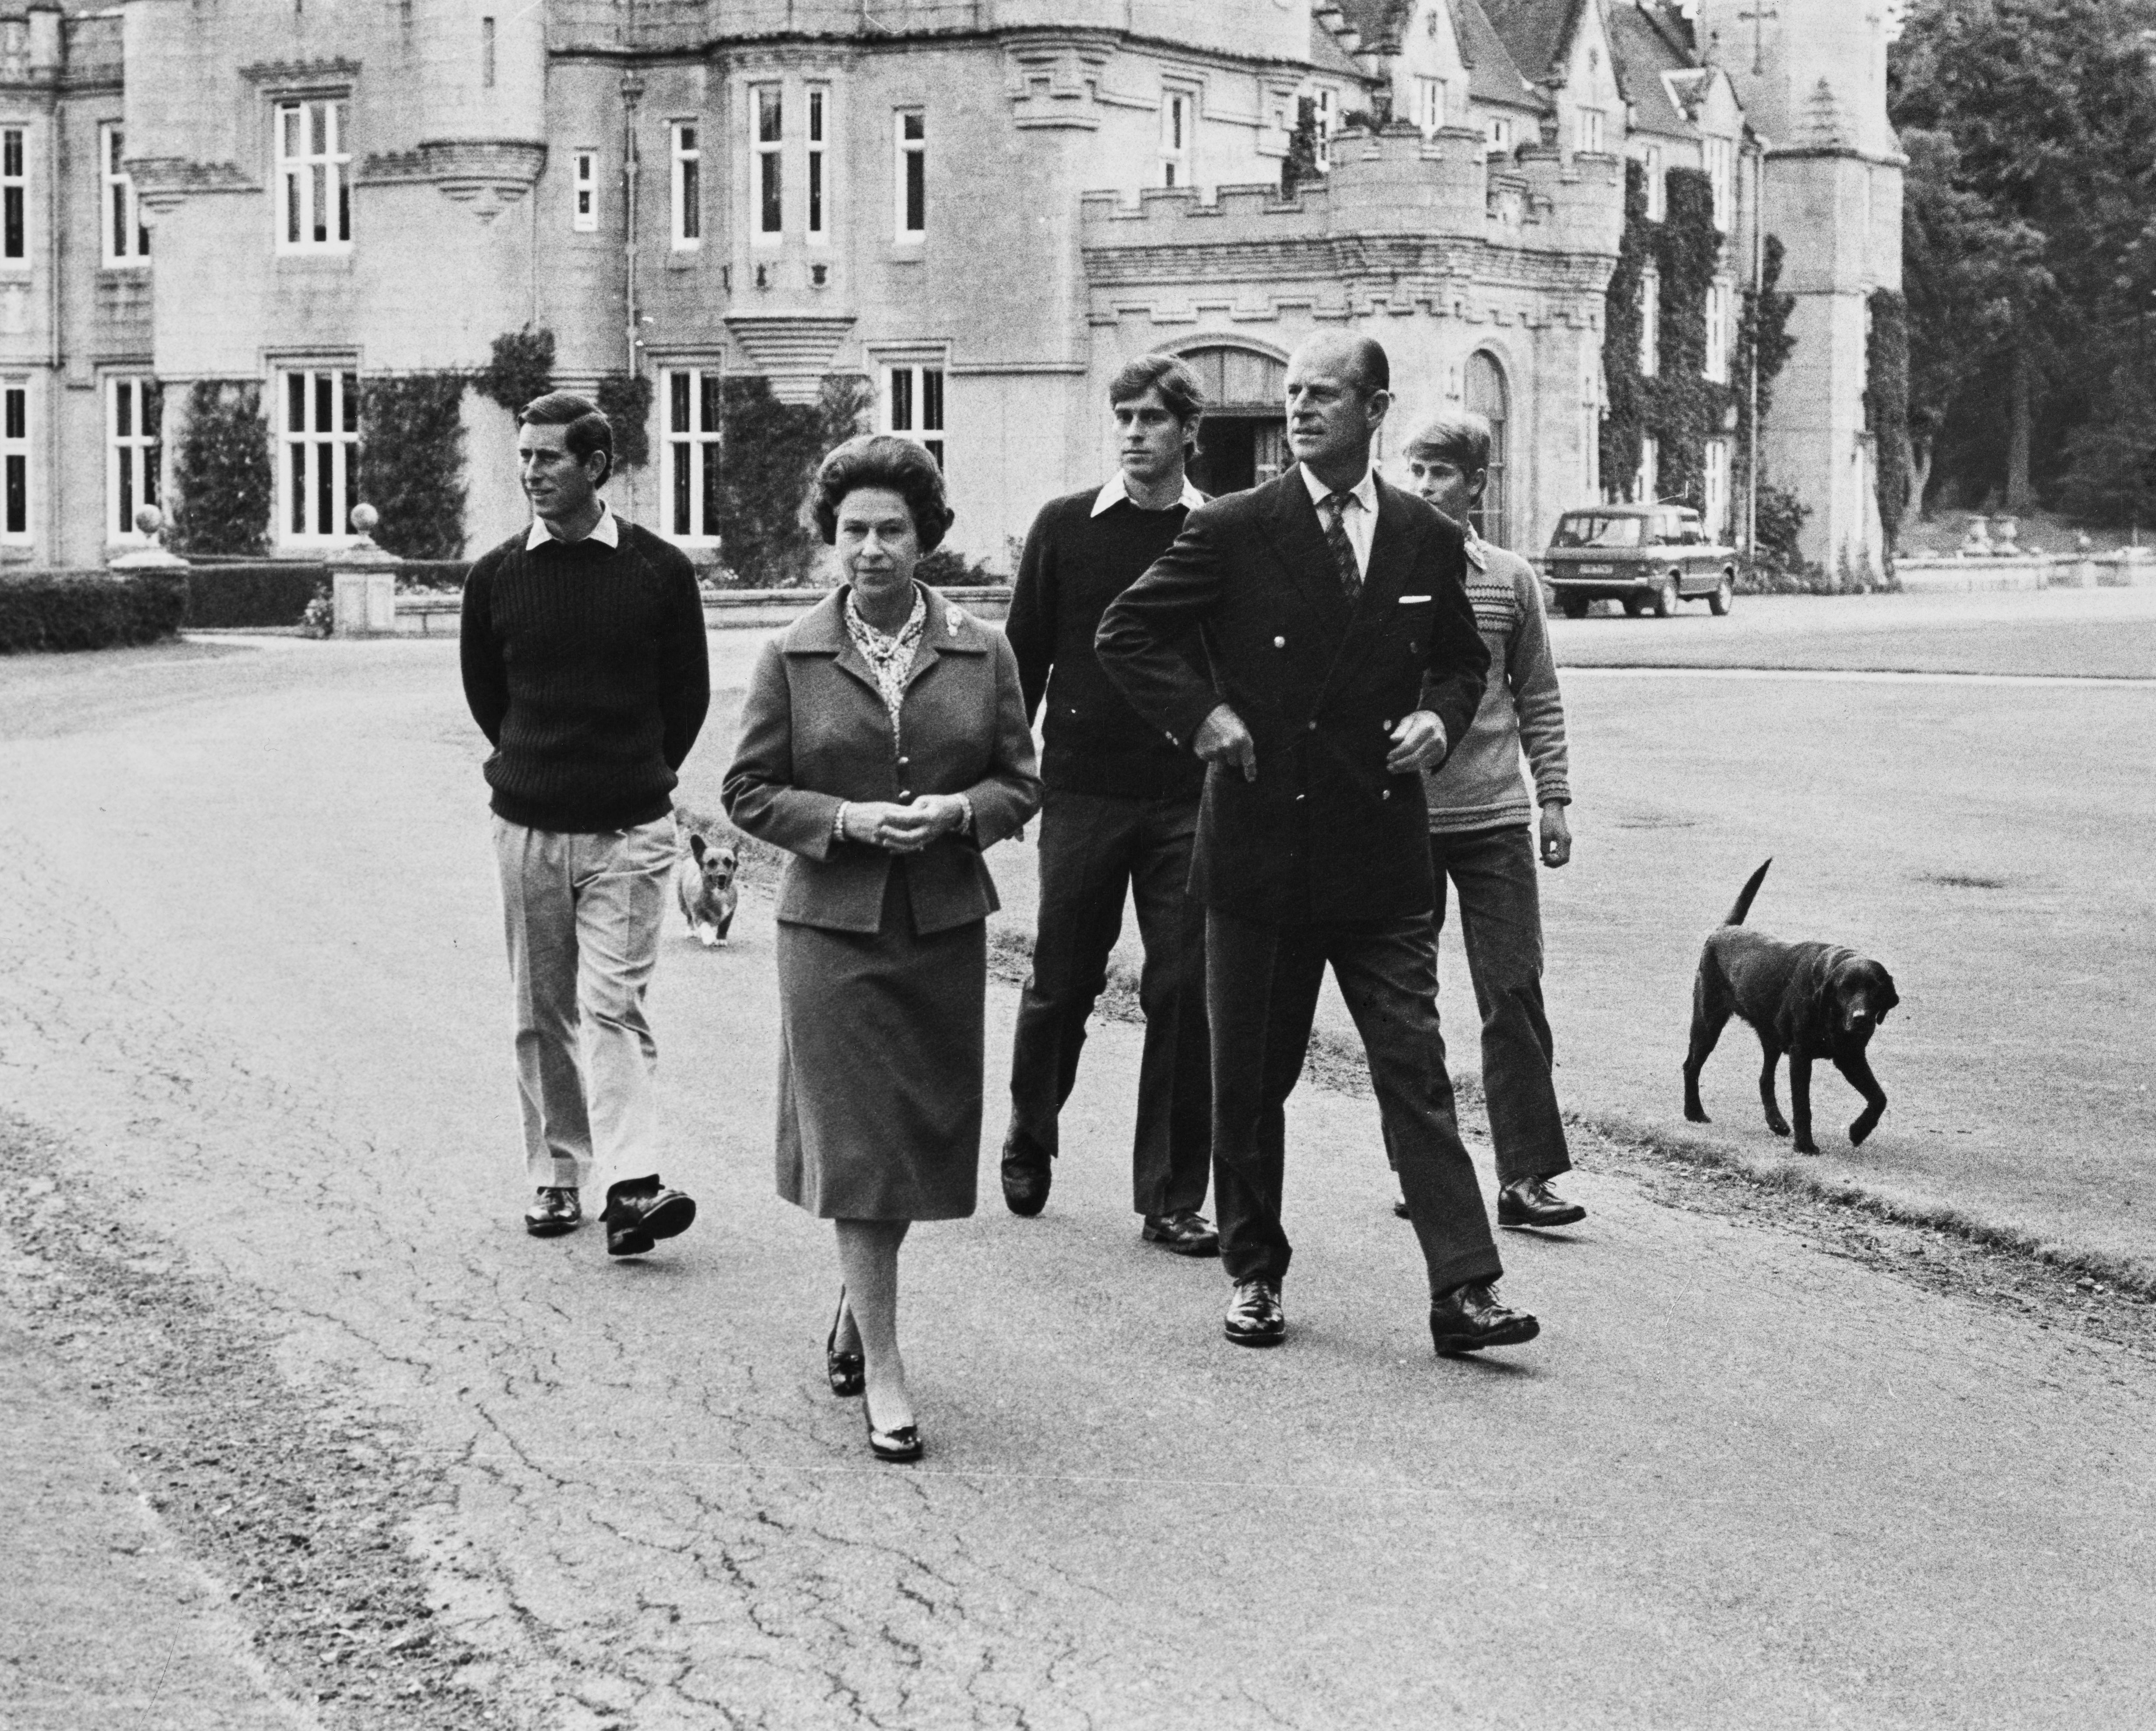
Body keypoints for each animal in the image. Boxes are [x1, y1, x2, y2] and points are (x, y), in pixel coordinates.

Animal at [1681, 862, 1906, 1155]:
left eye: (1876, 989)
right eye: (1846, 988)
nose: (1861, 1019)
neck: (1829, 1013)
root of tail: (1724, 929)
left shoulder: (1851, 1056)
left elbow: (1879, 1097)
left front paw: (1859, 1131)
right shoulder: (1801, 1056)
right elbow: (1803, 1105)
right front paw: (1805, 1145)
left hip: (1771, 1039)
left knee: (1765, 1079)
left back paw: (1777, 1123)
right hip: (1707, 1023)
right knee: (1691, 1066)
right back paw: (1694, 1112)